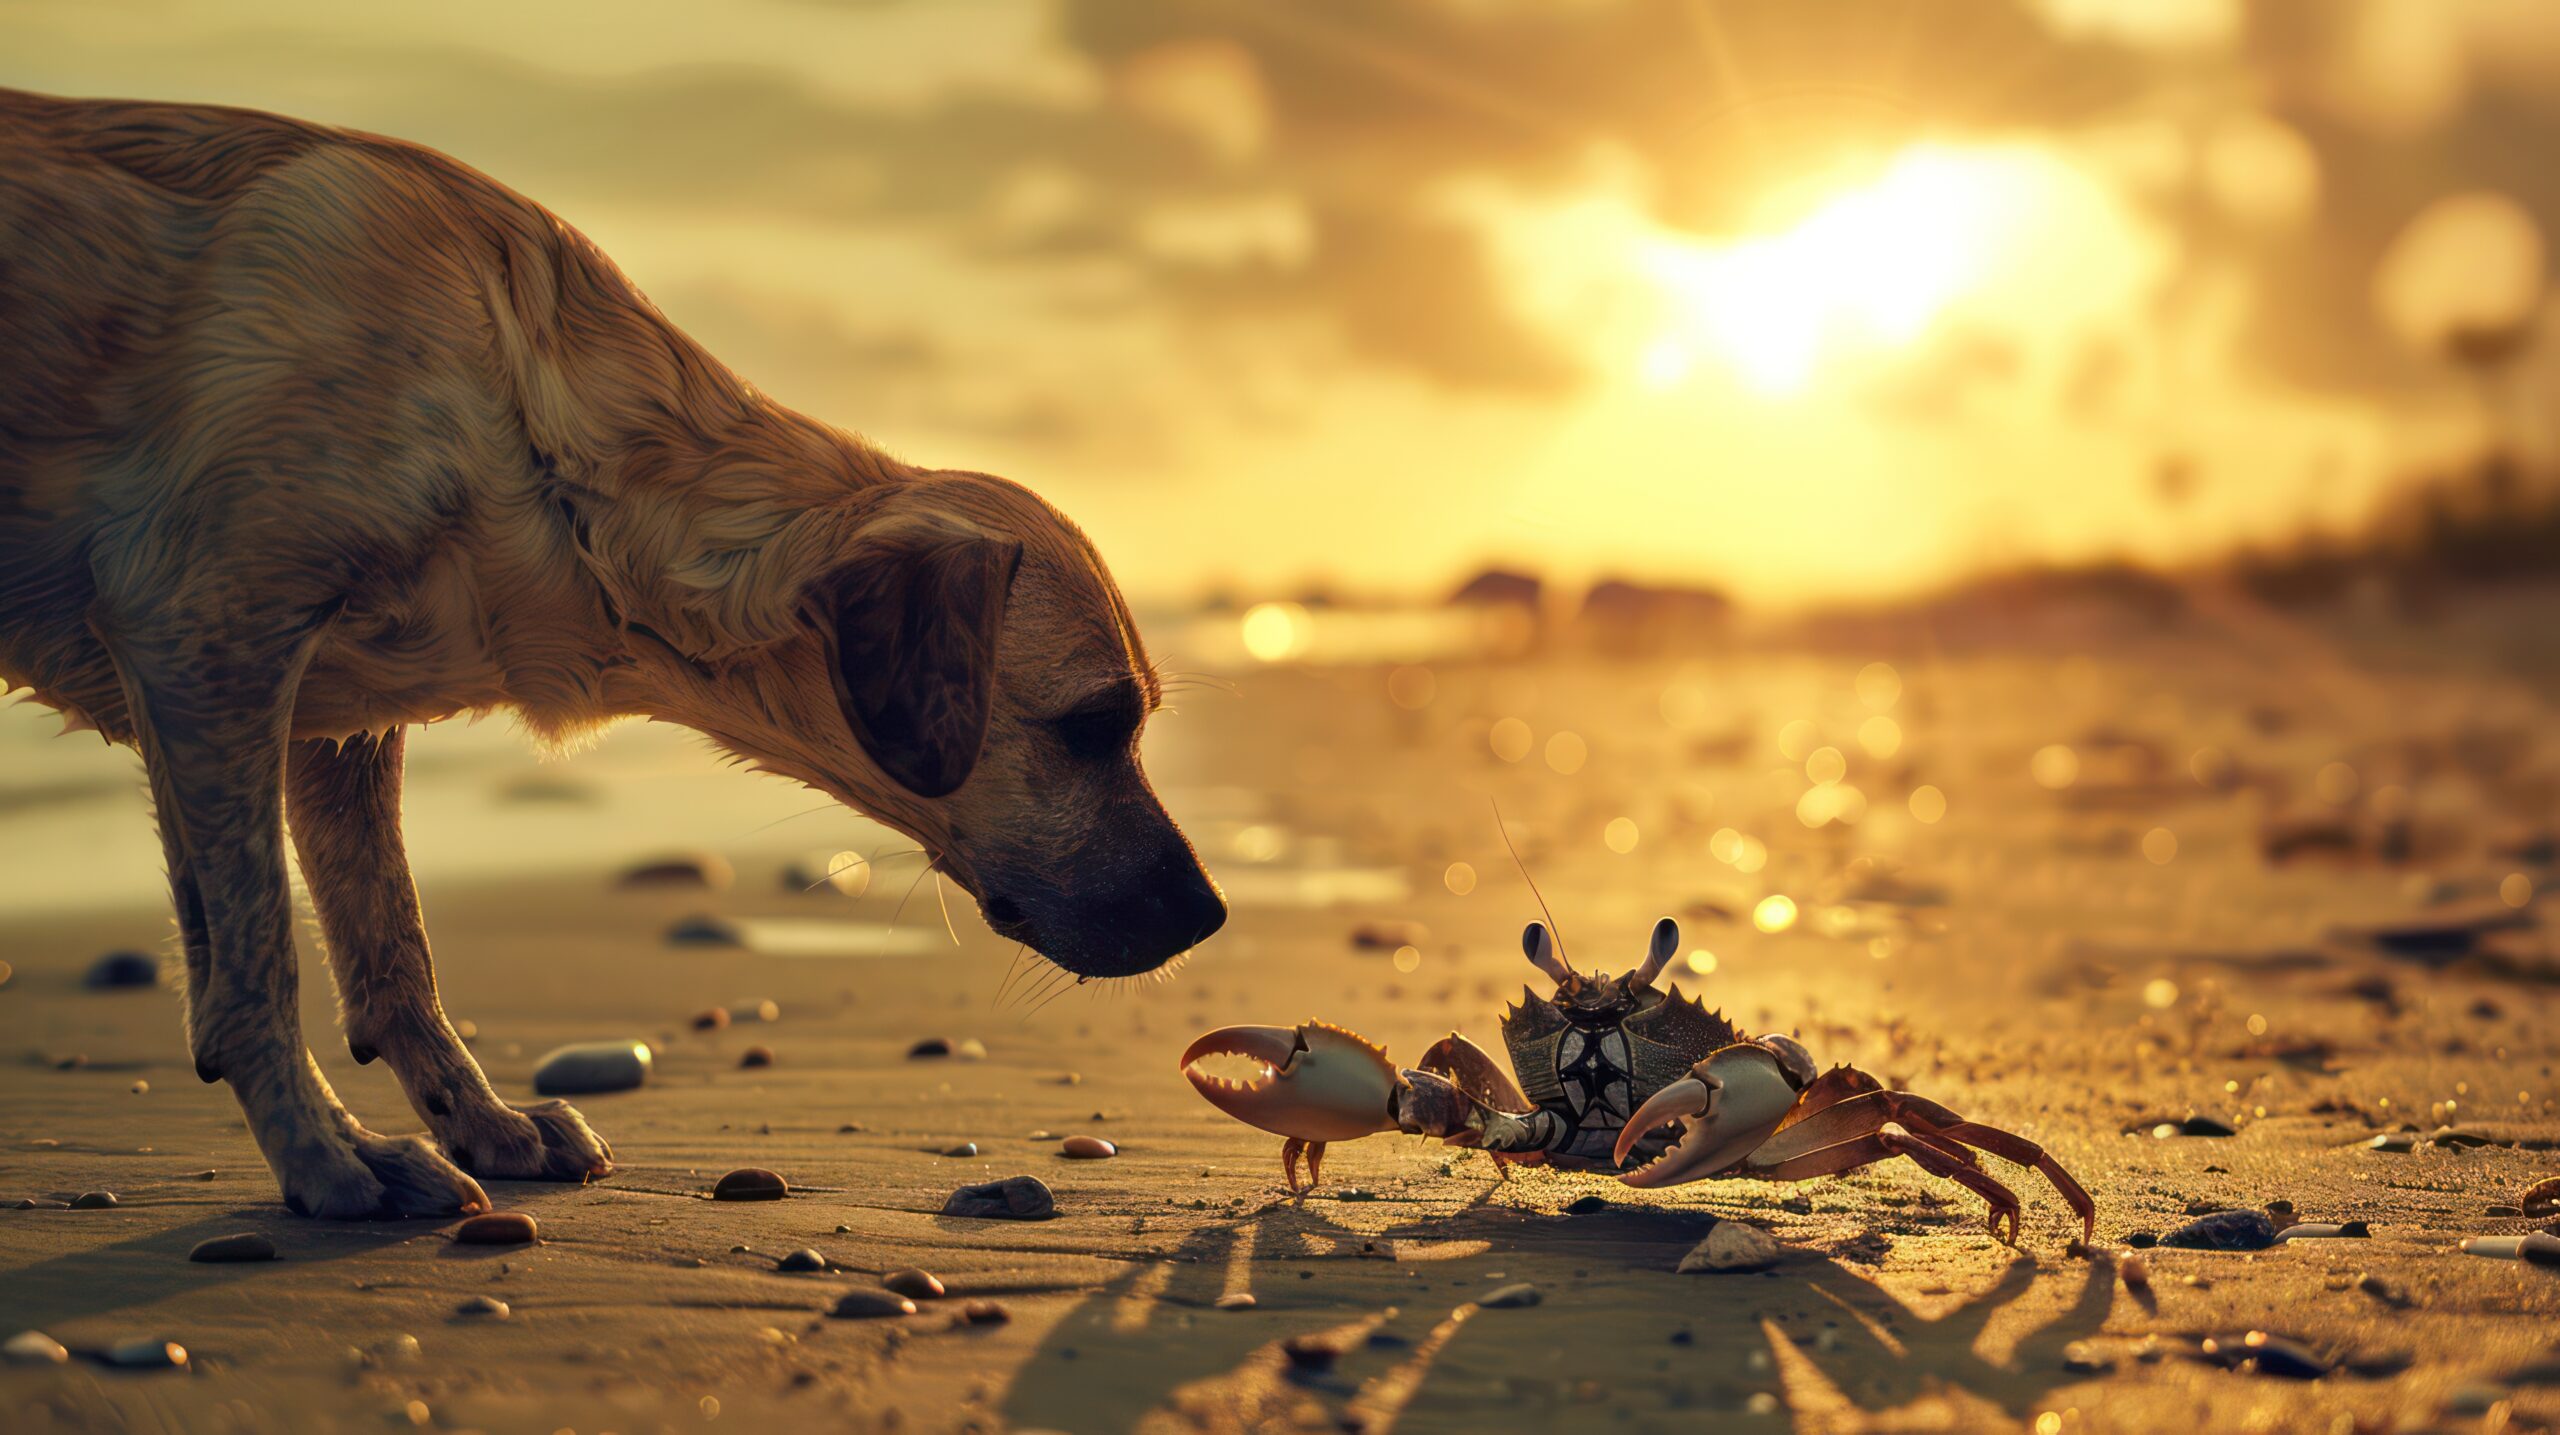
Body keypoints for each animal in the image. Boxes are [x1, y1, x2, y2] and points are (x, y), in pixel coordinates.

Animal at [0, 83, 1228, 1212]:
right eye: (1093, 724)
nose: (1213, 916)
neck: (529, 418)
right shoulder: (207, 640)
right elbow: (258, 960)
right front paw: (325, 1158)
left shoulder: (332, 721)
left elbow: (392, 948)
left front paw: (479, 1123)